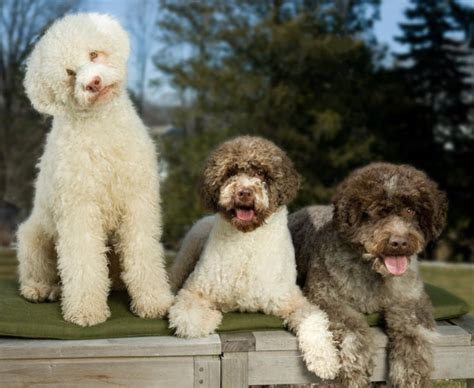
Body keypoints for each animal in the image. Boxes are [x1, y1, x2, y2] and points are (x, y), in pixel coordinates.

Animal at [19, 13, 174, 326]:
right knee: (39, 270)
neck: (102, 128)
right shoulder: (78, 208)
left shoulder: (138, 203)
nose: (93, 82)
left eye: (93, 54)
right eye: (69, 72)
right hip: (34, 238)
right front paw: (86, 310)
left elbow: (143, 252)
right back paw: (40, 289)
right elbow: (83, 260)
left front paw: (153, 302)